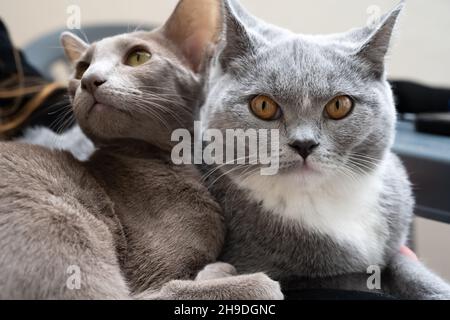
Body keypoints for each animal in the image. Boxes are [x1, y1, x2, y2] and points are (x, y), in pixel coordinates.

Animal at [0, 0, 282, 300]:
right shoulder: (153, 271)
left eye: (138, 57)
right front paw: (220, 272)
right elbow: (170, 285)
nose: (89, 79)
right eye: (81, 68)